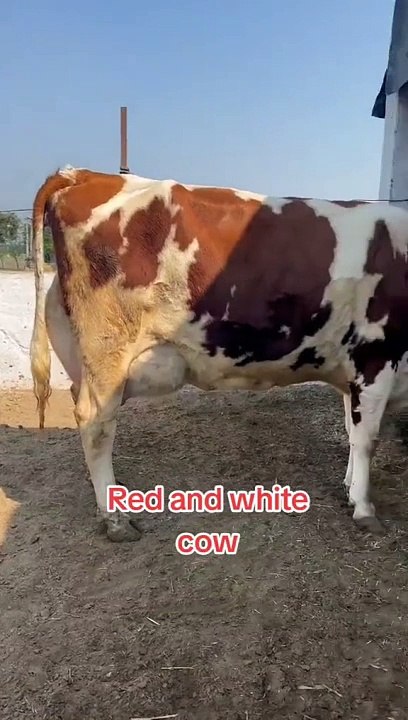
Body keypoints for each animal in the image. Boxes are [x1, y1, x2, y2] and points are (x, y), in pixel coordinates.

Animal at [29, 165, 408, 542]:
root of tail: (82, 174)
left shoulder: (352, 367)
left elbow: (352, 431)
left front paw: (350, 489)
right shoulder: (376, 355)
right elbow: (366, 439)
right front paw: (364, 508)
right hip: (109, 348)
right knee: (95, 423)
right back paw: (115, 518)